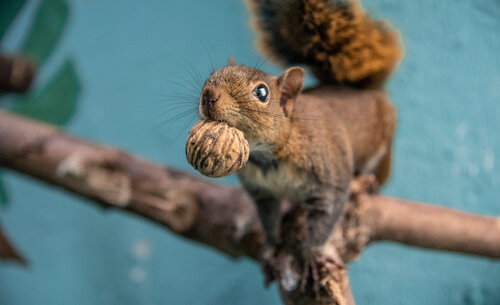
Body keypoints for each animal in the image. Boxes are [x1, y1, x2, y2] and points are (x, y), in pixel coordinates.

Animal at [197, 0, 400, 290]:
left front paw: (312, 255)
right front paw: (270, 249)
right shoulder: (263, 192)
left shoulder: (328, 181)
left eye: (262, 93)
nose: (209, 95)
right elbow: (269, 220)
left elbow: (325, 219)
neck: (267, 157)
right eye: (212, 75)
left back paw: (367, 183)